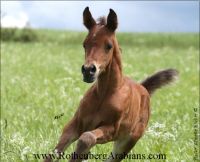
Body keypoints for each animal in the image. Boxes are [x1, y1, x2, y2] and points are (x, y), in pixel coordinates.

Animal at [44, 6, 178, 161]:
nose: (88, 70)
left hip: (127, 142)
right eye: (84, 44)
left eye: (108, 46)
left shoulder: (111, 130)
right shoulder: (75, 124)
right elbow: (53, 153)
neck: (104, 95)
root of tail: (143, 88)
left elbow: (87, 138)